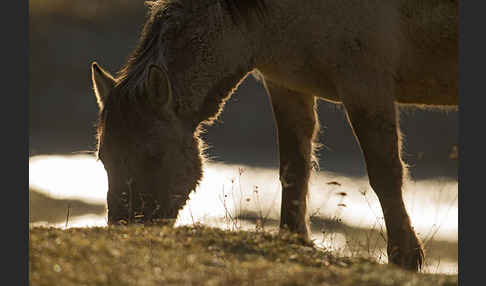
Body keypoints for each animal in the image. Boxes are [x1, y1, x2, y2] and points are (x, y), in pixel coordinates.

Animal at [90, 0, 456, 272]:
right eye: (103, 158)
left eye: (153, 155)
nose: (125, 229)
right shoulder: (287, 86)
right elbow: (293, 170)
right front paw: (293, 240)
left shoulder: (365, 84)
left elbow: (385, 173)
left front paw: (405, 257)